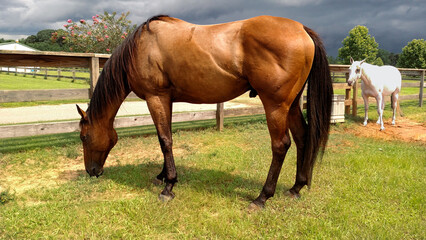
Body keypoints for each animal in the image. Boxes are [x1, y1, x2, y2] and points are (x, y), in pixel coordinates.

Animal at [78, 14, 334, 208]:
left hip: (275, 105)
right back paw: (296, 187)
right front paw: (163, 176)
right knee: (302, 138)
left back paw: (262, 197)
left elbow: (164, 140)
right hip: (292, 105)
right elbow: (167, 138)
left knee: (281, 145)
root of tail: (302, 29)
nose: (92, 171)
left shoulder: (156, 97)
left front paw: (169, 186)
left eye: (84, 137)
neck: (141, 47)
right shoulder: (167, 100)